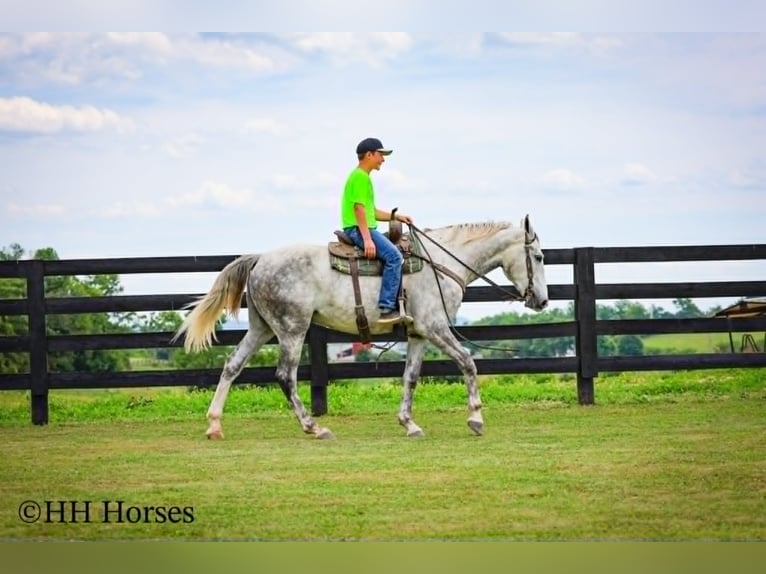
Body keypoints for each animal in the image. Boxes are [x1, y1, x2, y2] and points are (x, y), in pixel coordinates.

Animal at [173, 215, 549, 440]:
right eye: (540, 257)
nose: (542, 301)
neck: (441, 262)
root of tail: (260, 259)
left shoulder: (418, 334)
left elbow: (410, 377)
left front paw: (409, 423)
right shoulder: (435, 327)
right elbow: (468, 363)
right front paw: (476, 419)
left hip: (262, 328)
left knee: (232, 366)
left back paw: (214, 424)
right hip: (292, 329)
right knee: (285, 376)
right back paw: (314, 427)